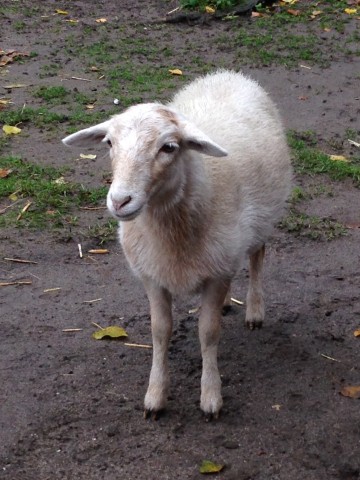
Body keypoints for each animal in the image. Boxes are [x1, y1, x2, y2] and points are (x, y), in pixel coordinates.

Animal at [62, 69, 292, 418]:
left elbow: (208, 333)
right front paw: (156, 395)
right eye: (109, 142)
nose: (119, 201)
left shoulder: (216, 274)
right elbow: (160, 331)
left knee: (257, 255)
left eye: (169, 147)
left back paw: (254, 310)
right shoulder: (154, 275)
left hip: (260, 220)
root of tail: (228, 73)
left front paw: (211, 396)